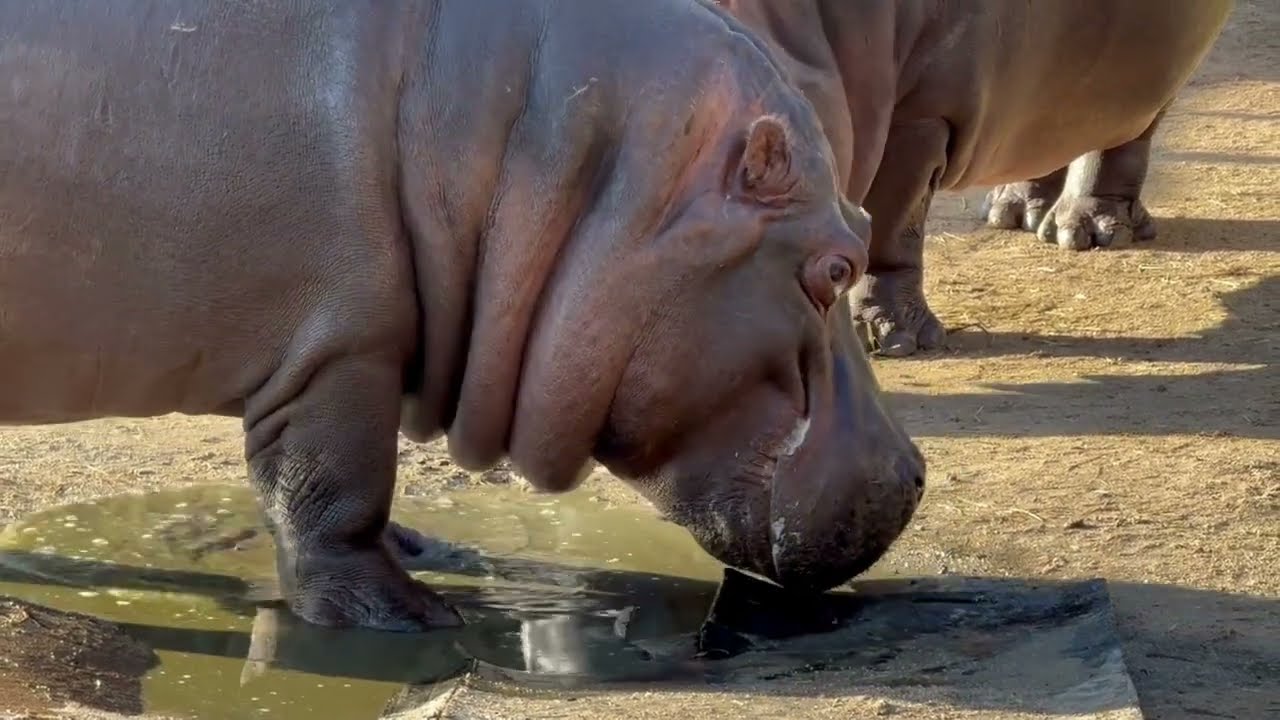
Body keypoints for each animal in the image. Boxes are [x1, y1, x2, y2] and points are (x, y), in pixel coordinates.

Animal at [0, 0, 925, 631]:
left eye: (867, 218)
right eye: (835, 267)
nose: (917, 473)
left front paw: (420, 552)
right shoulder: (343, 348)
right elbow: (331, 489)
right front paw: (408, 616)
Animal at [718, 0, 1234, 356]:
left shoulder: (920, 115)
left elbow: (891, 222)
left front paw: (890, 339)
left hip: (1146, 63)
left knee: (1125, 127)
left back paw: (1090, 233)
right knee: (1051, 122)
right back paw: (1015, 214)